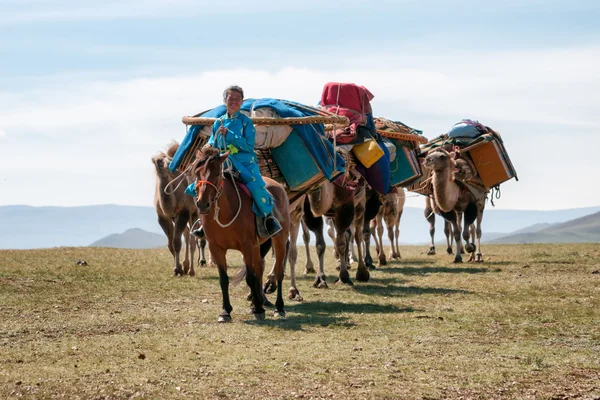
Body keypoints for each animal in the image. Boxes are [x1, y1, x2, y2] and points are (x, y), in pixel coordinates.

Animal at [151, 142, 198, 276]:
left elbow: (176, 242)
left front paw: (177, 269)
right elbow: (170, 244)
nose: (169, 164)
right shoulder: (163, 217)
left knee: (192, 240)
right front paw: (178, 268)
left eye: (168, 158)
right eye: (159, 161)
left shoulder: (183, 212)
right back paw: (186, 266)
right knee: (187, 234)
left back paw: (191, 270)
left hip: (194, 213)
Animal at [190, 147, 288, 322]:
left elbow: (249, 277)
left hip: (279, 239)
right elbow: (224, 279)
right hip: (257, 245)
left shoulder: (246, 245)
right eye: (197, 174)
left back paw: (279, 307)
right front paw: (225, 311)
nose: (202, 204)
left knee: (278, 272)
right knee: (259, 268)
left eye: (217, 174)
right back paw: (258, 303)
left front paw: (258, 310)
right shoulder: (216, 248)